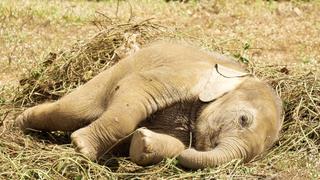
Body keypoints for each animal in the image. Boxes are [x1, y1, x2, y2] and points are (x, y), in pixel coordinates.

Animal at [16, 41, 282, 169]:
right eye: (244, 119)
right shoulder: (183, 76)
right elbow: (136, 89)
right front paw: (82, 147)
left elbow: (175, 144)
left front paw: (142, 142)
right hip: (110, 75)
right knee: (71, 111)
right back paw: (20, 123)